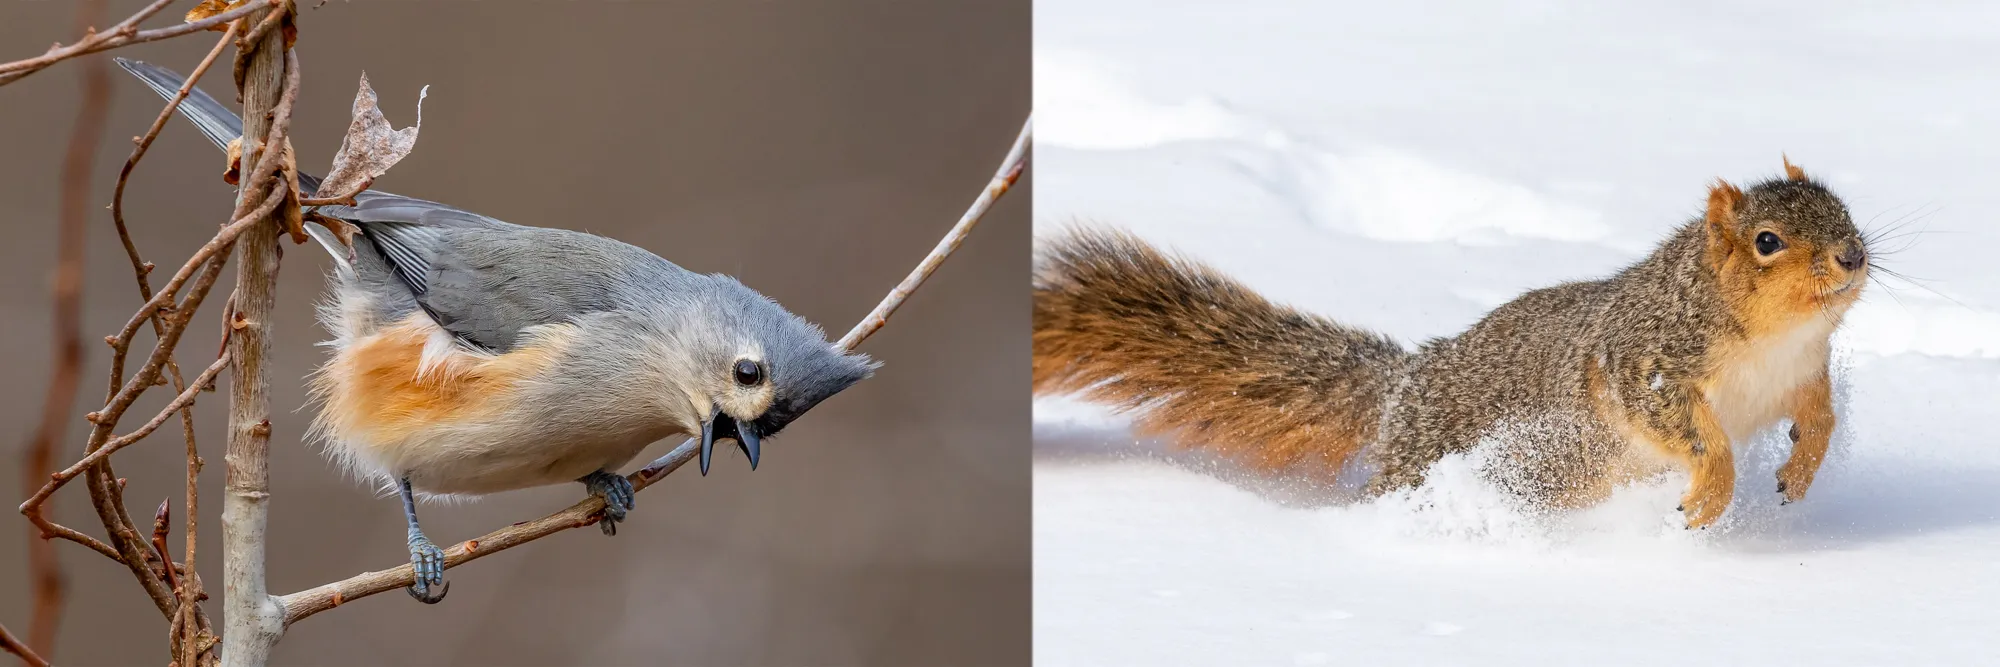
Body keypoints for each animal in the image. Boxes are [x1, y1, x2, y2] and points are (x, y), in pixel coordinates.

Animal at [1032, 158, 1869, 528]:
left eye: (1843, 206)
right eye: (1767, 241)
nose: (1854, 256)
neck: (1774, 340)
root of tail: (1408, 385)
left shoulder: (1802, 373)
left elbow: (1821, 413)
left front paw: (1800, 467)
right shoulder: (1648, 363)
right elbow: (1690, 430)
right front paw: (1710, 491)